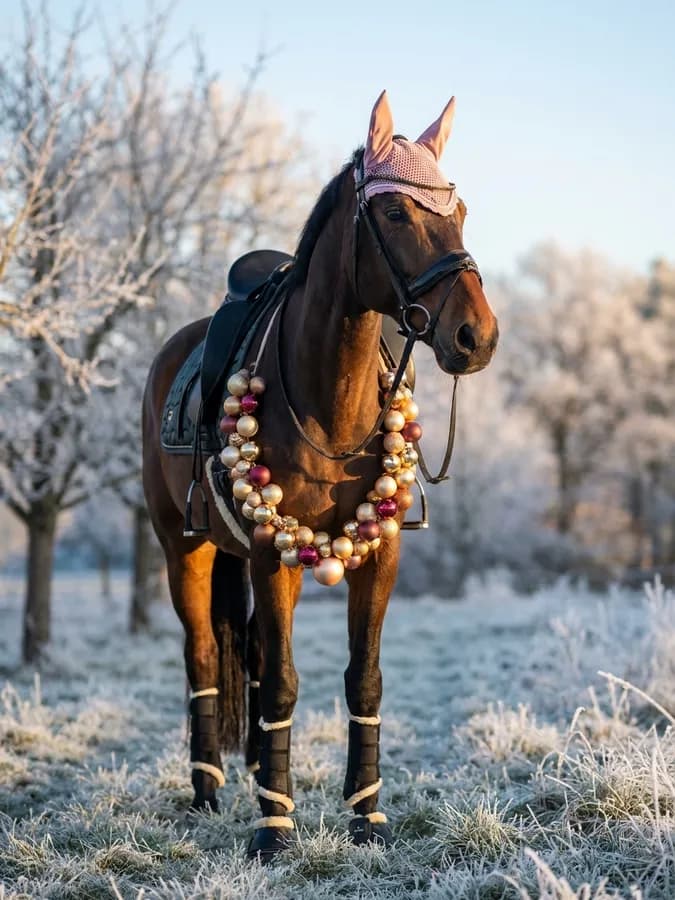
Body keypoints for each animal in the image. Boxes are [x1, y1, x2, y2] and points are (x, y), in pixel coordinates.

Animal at [142, 90, 498, 861]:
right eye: (393, 215)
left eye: (458, 211)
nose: (476, 336)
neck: (330, 402)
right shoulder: (271, 548)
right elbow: (280, 683)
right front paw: (274, 829)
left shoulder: (378, 553)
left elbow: (363, 680)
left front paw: (366, 815)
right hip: (185, 548)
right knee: (203, 656)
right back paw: (209, 790)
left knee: (244, 651)